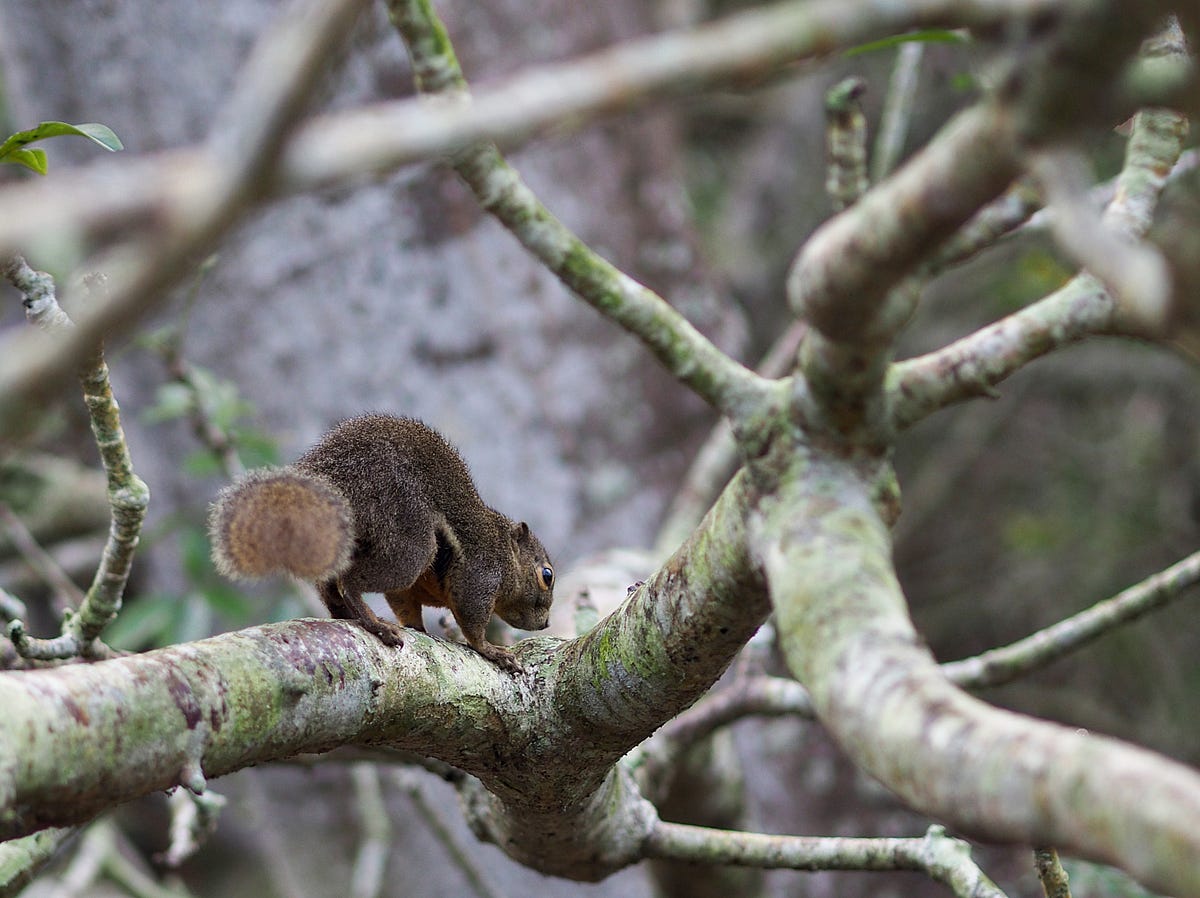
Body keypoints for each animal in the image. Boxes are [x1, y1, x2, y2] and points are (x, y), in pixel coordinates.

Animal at [208, 414, 555, 672]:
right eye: (546, 575)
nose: (546, 624)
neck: (506, 553)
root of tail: (330, 477)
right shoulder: (481, 574)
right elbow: (471, 620)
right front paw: (492, 650)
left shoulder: (411, 591)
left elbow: (406, 607)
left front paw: (419, 628)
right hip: (409, 542)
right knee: (350, 582)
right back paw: (374, 623)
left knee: (330, 584)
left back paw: (344, 612)